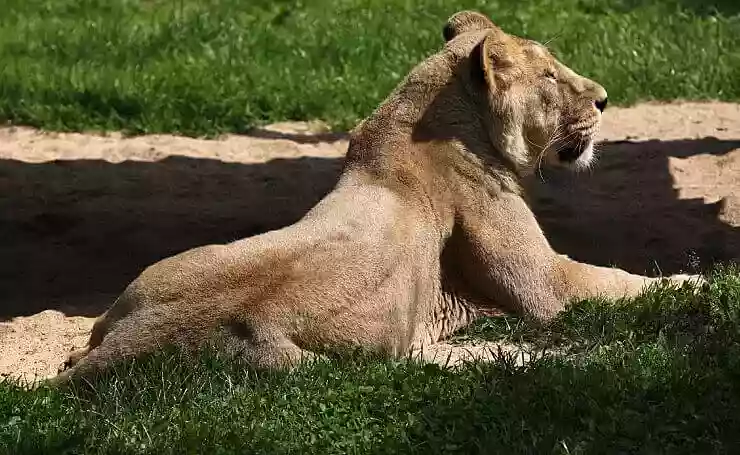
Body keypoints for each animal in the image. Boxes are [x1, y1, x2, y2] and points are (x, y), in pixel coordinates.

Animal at [51, 10, 701, 385]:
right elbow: (618, 281)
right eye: (548, 77)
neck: (424, 120)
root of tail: (138, 344)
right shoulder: (545, 287)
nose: (605, 99)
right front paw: (699, 280)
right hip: (317, 369)